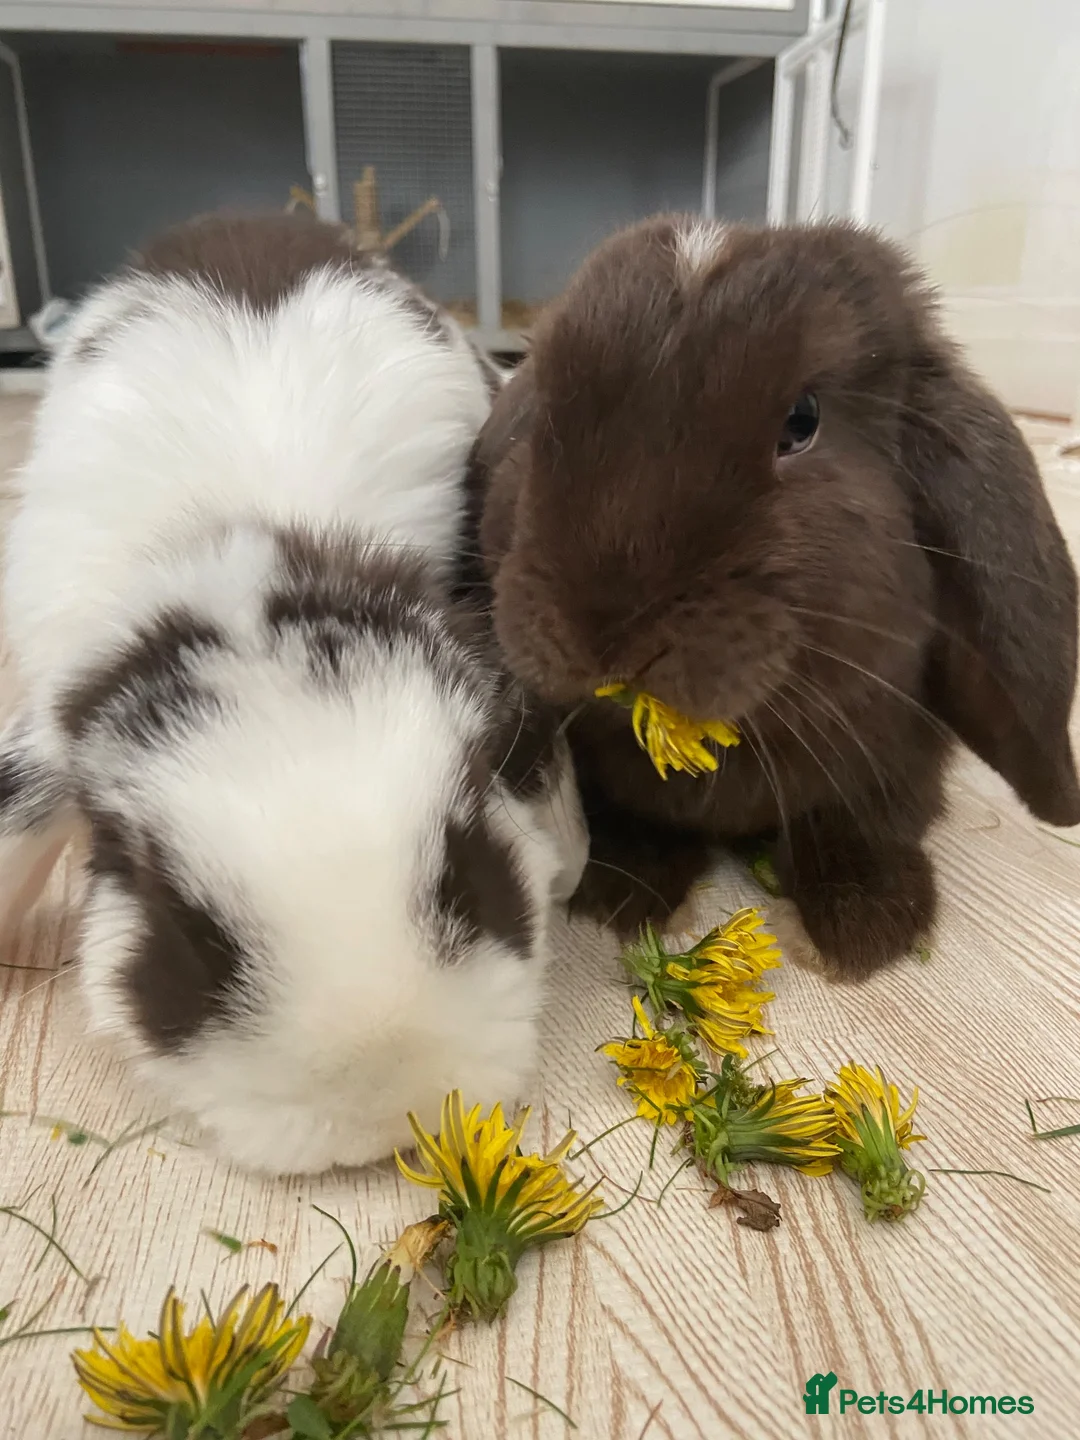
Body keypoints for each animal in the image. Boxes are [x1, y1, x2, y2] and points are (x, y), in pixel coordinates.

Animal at [462, 213, 1080, 978]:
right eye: (544, 411)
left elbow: (862, 820)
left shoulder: (897, 759)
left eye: (802, 421)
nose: (603, 634)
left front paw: (866, 926)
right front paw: (626, 894)